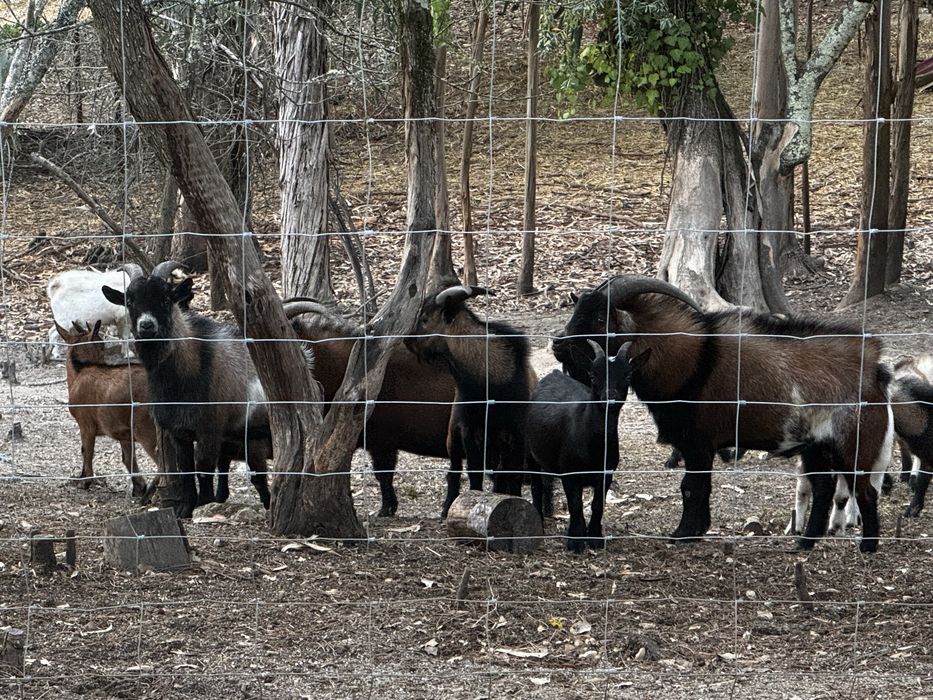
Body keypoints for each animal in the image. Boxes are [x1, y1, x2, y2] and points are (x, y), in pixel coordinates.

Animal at [102, 269, 273, 518]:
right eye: (130, 301)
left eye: (165, 299)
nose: (146, 325)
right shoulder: (178, 432)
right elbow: (185, 469)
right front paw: (185, 507)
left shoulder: (210, 429)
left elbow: (203, 467)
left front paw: (204, 502)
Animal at [405, 284, 536, 518]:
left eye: (425, 318)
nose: (407, 340)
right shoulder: (469, 431)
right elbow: (474, 474)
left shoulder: (516, 434)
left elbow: (513, 474)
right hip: (453, 439)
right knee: (454, 472)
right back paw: (447, 505)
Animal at [526, 340, 649, 552]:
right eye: (593, 375)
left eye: (628, 376)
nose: (610, 397)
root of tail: (553, 373)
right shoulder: (569, 471)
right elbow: (575, 504)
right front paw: (575, 541)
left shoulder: (607, 473)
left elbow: (597, 504)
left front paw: (595, 538)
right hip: (530, 451)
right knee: (536, 486)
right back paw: (539, 522)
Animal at [553, 275, 894, 552]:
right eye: (576, 308)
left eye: (600, 316)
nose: (557, 344)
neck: (696, 361)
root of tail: (874, 371)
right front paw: (694, 530)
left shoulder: (699, 443)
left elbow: (692, 487)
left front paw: (684, 533)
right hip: (817, 447)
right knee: (824, 488)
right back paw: (804, 544)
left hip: (854, 444)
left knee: (865, 491)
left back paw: (868, 547)